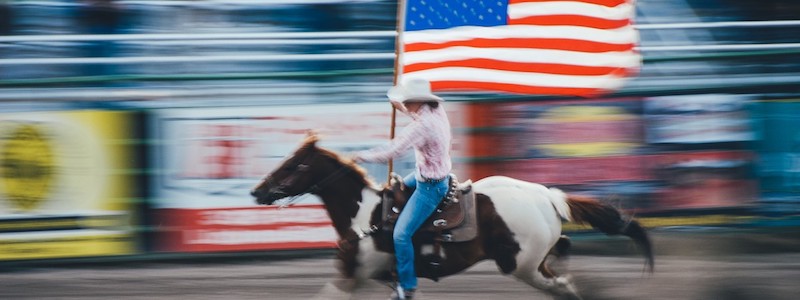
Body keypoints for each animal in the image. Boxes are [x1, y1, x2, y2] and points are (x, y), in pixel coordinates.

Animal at [253, 134, 652, 300]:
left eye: (294, 164)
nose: (258, 191)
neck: (364, 217)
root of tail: (546, 196)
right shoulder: (375, 278)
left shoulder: (354, 276)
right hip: (533, 261)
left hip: (522, 265)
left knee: (563, 286)